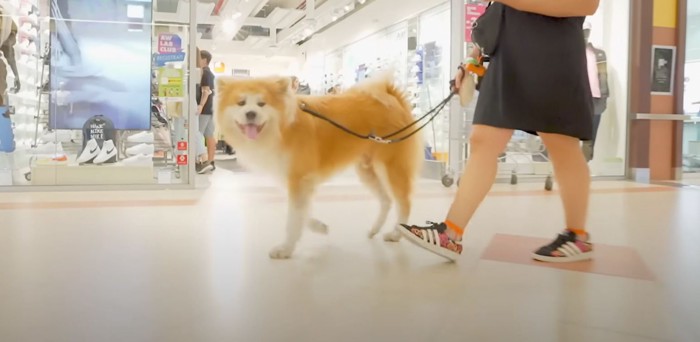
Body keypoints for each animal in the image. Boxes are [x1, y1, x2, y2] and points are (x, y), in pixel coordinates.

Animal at [215, 73, 422, 258]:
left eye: (261, 104)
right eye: (241, 103)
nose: (251, 114)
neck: (282, 127)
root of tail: (394, 99)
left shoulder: (299, 178)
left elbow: (294, 217)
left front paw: (285, 249)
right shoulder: (297, 180)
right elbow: (302, 213)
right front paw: (319, 227)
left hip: (391, 167)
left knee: (404, 203)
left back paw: (396, 234)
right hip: (366, 170)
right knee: (386, 200)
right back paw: (374, 229)